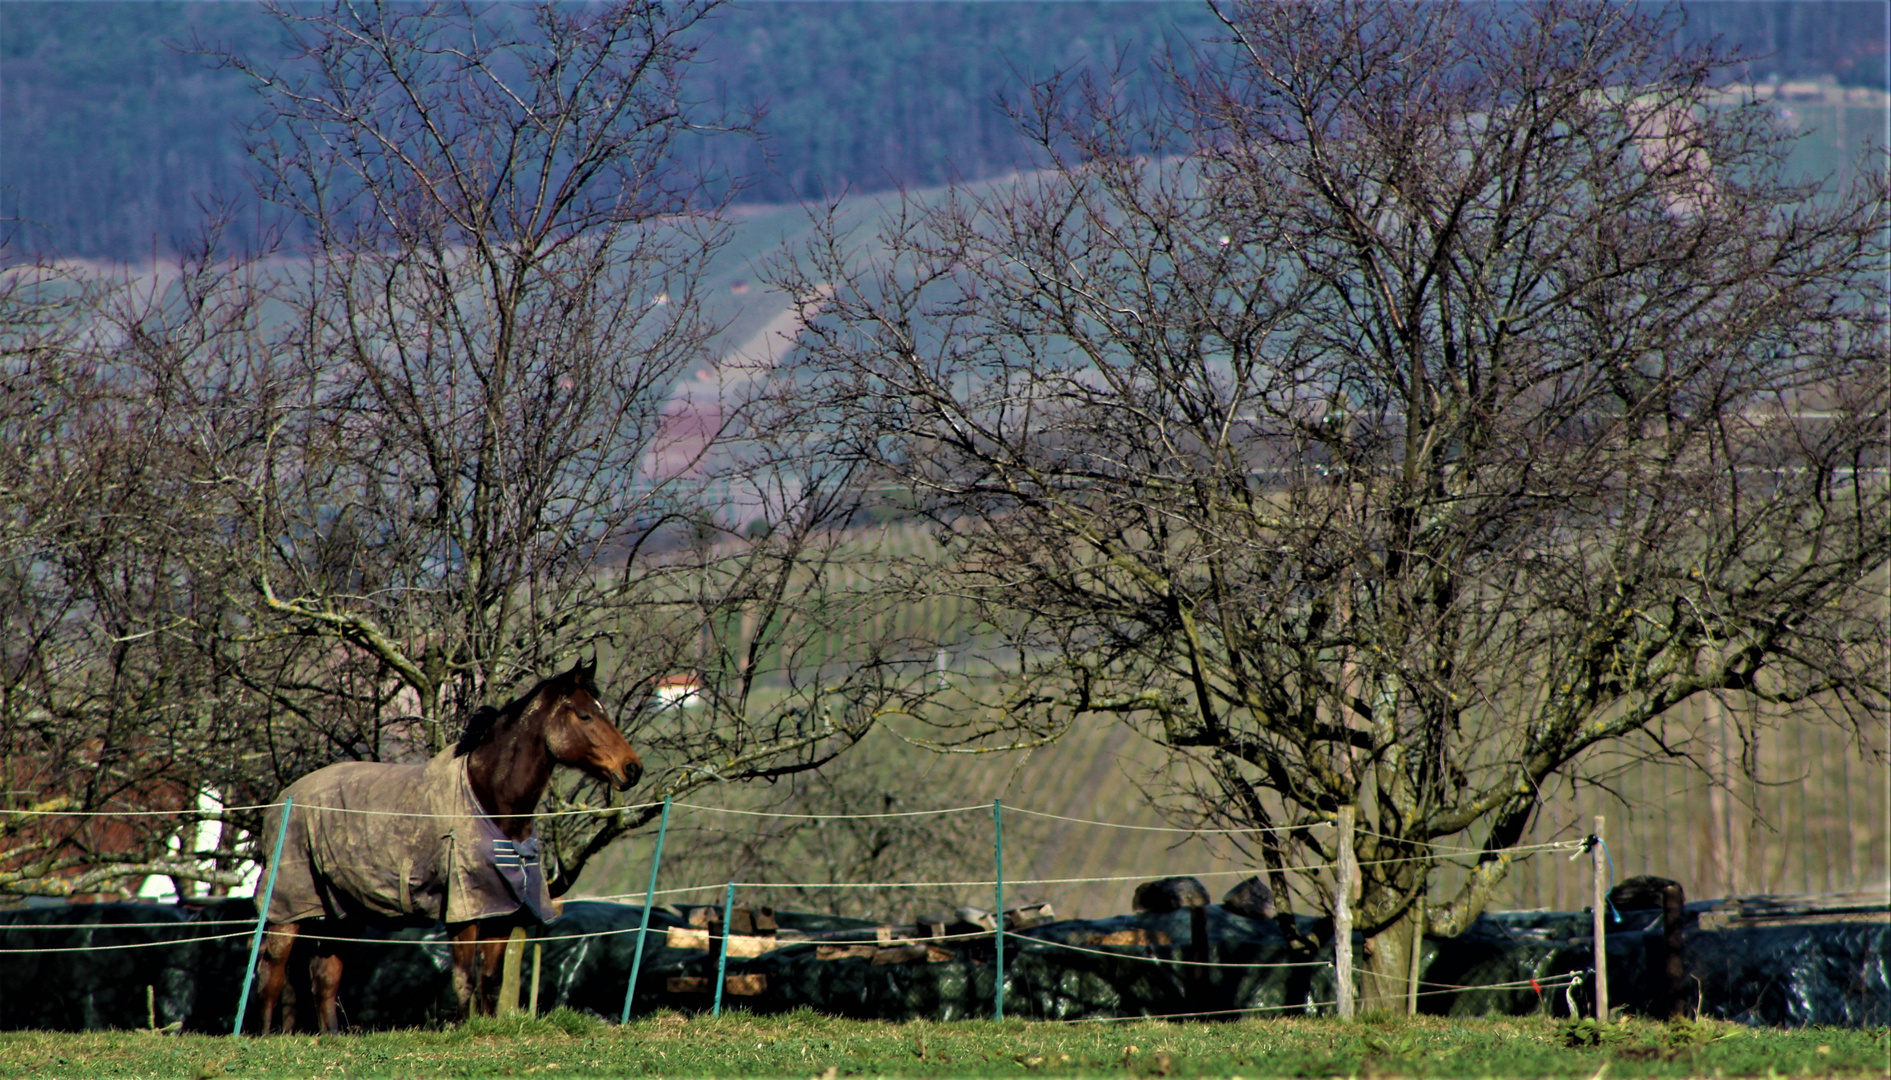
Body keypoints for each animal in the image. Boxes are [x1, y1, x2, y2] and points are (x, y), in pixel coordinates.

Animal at [251, 654, 642, 1036]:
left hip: (342, 912)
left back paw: (330, 1036)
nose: (632, 768)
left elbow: (491, 980)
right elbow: (464, 978)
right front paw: (465, 1029)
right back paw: (266, 1035)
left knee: (324, 976)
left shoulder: (501, 910)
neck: (488, 798)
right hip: (288, 906)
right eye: (586, 714)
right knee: (272, 971)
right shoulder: (462, 910)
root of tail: (283, 800)